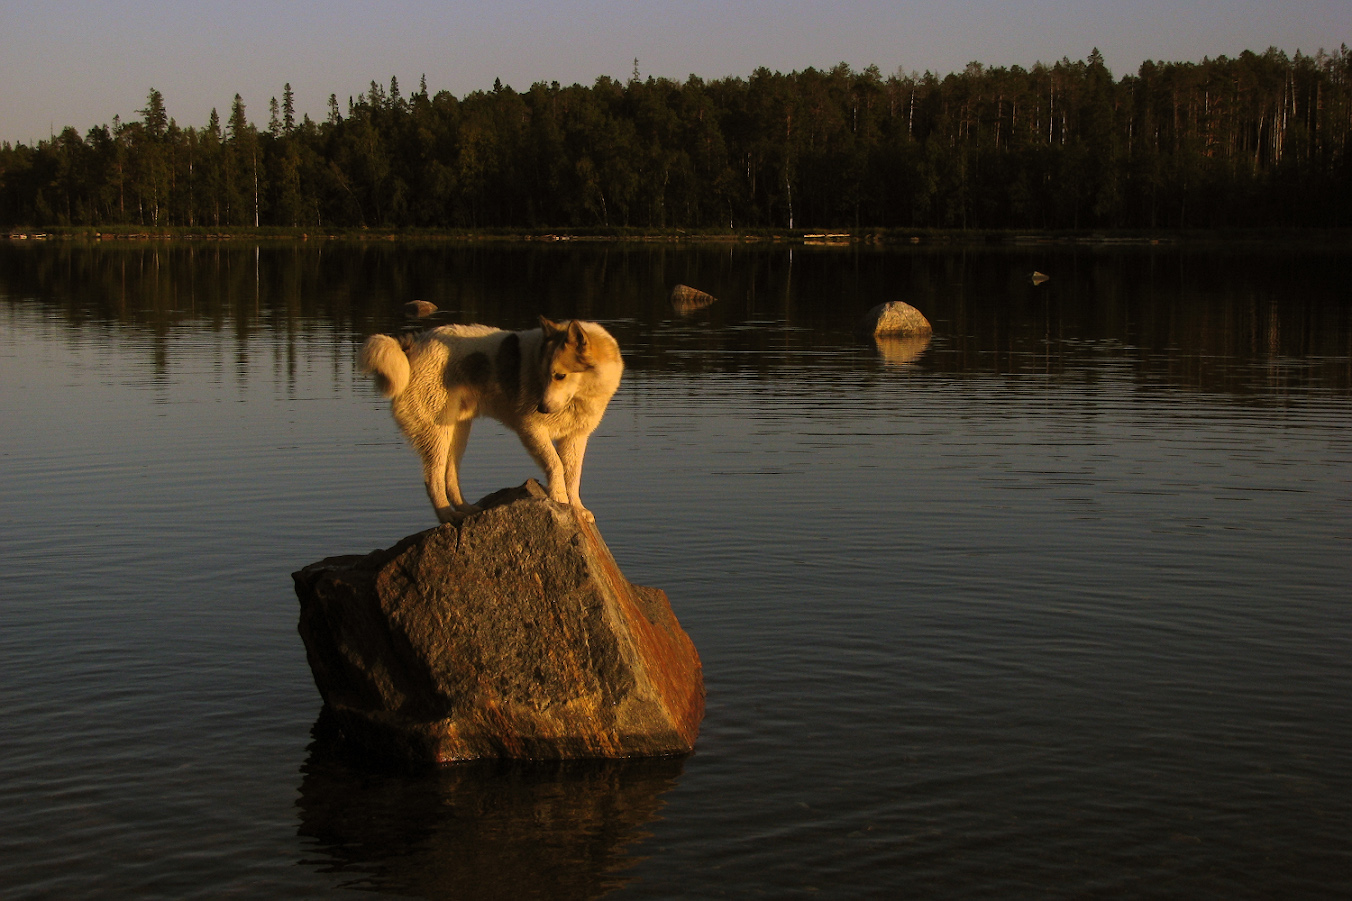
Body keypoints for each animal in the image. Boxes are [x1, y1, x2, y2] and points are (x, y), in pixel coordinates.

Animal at [362, 319, 630, 522]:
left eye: (560, 376)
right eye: (544, 374)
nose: (541, 408)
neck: (580, 397)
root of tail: (412, 345)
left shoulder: (575, 438)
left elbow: (573, 475)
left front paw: (575, 507)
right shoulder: (531, 428)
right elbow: (556, 465)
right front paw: (560, 500)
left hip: (457, 433)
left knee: (450, 476)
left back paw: (466, 510)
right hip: (437, 434)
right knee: (433, 480)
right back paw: (447, 515)